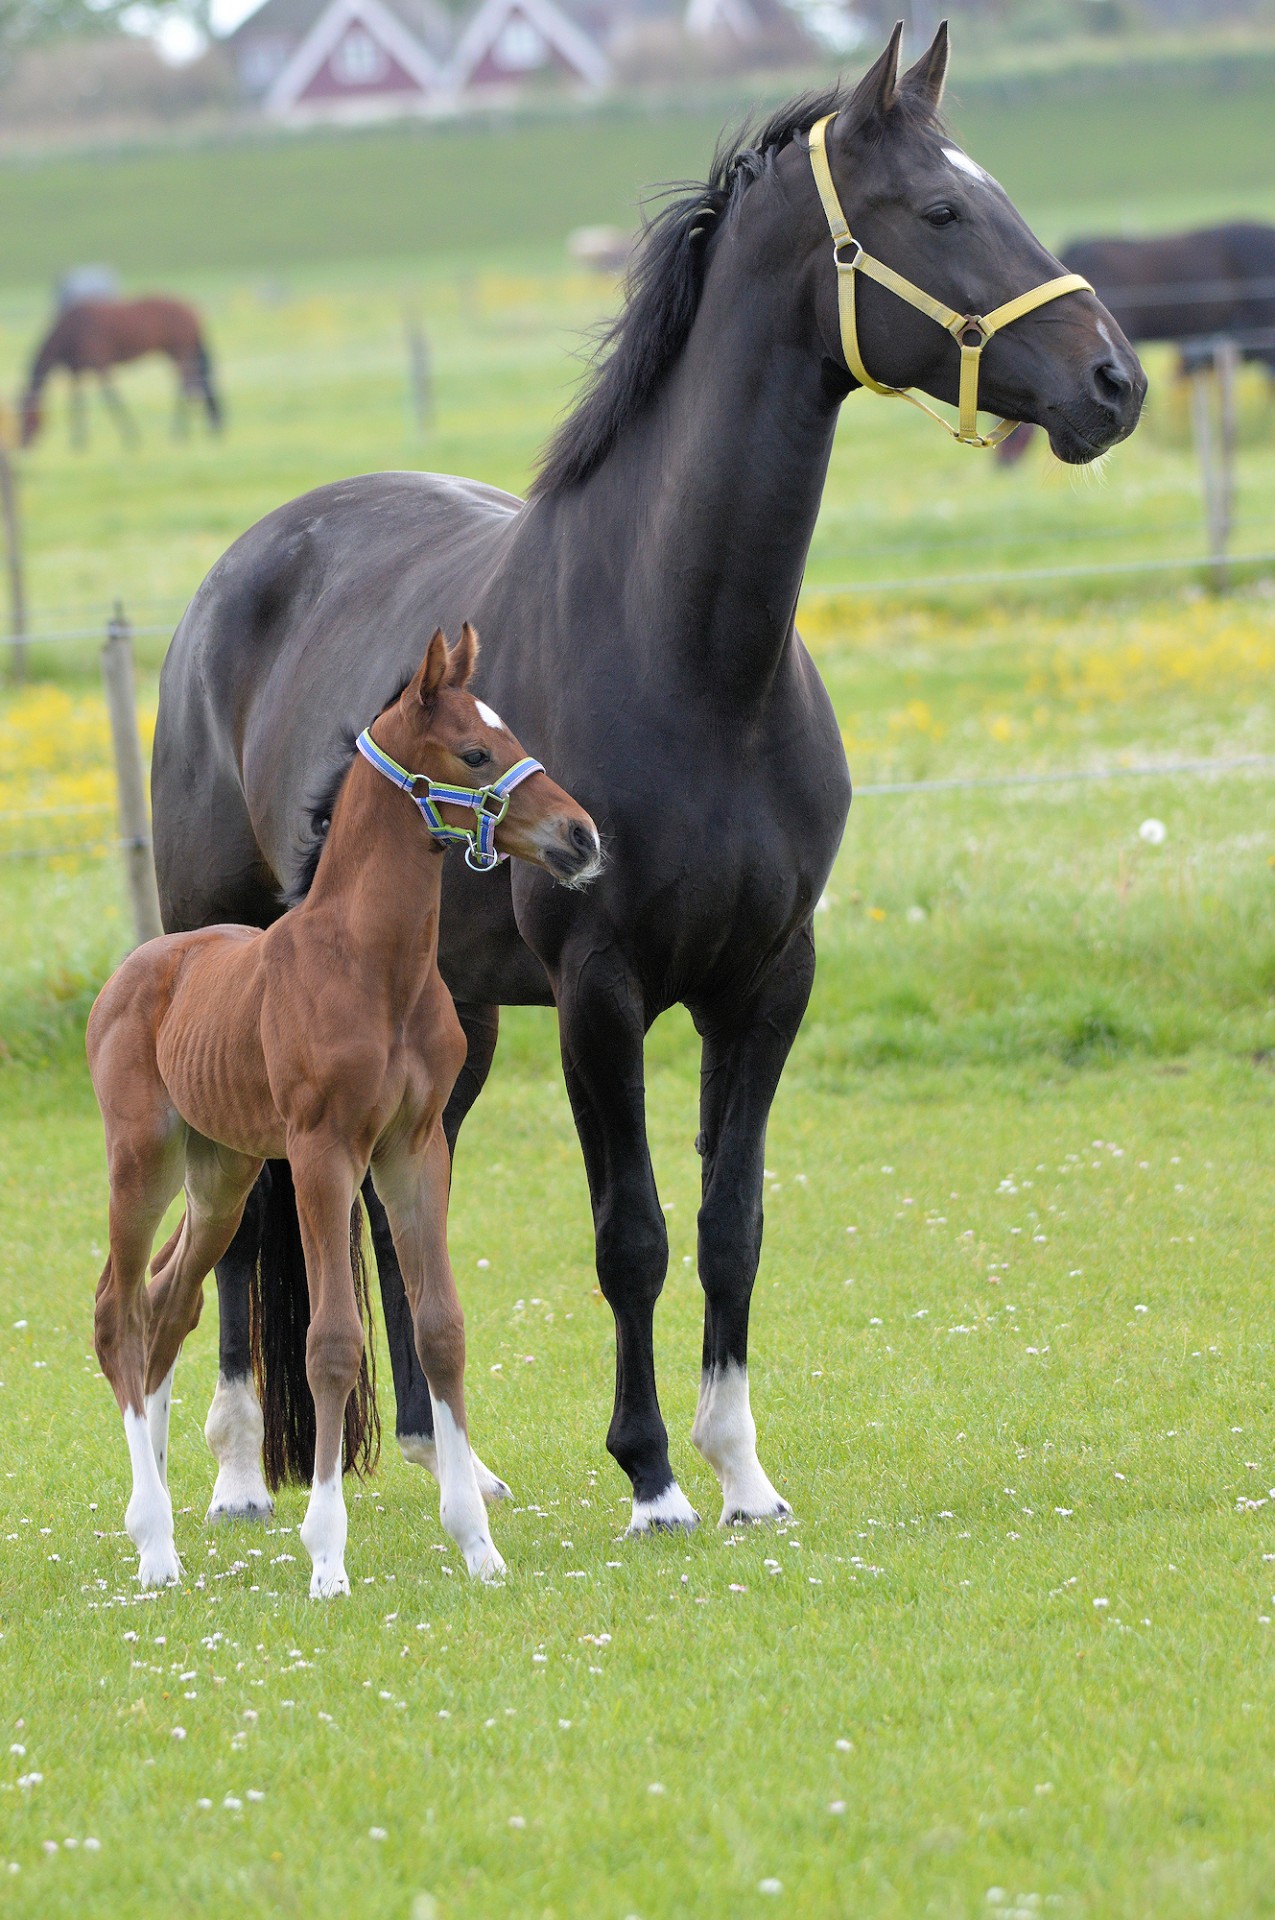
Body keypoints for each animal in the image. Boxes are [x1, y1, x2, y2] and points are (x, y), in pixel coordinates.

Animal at [20, 291, 221, 449]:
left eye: (28, 416)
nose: (23, 445)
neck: (71, 330)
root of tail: (194, 311)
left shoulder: (100, 366)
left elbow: (111, 398)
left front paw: (131, 437)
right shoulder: (77, 372)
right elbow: (77, 401)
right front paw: (78, 442)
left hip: (180, 354)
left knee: (187, 386)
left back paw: (179, 434)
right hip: (177, 355)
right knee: (190, 386)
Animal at [88, 625, 602, 1589]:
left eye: (512, 736)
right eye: (475, 753)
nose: (581, 837)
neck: (372, 964)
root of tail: (137, 966)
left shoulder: (413, 1147)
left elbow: (441, 1328)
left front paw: (477, 1543)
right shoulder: (323, 1151)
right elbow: (329, 1342)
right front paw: (326, 1555)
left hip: (222, 1173)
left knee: (168, 1302)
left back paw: (163, 1504)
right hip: (144, 1160)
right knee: (117, 1311)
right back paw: (153, 1539)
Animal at [151, 22, 1144, 1536]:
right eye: (938, 211)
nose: (1114, 385)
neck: (693, 663)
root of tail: (234, 575)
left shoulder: (769, 981)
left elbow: (732, 1225)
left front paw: (741, 1472)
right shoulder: (599, 990)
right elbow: (632, 1233)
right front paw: (654, 1477)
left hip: (444, 1011)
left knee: (391, 1195)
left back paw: (452, 1459)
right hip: (238, 952)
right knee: (247, 1201)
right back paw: (236, 1471)